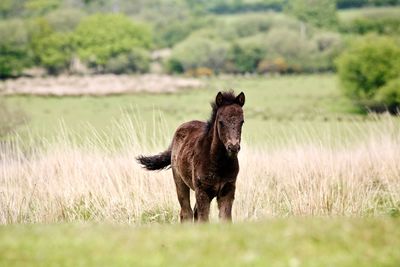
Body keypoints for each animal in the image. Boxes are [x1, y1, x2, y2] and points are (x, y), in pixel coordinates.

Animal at [137, 91, 244, 223]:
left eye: (242, 122)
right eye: (221, 122)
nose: (233, 147)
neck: (219, 163)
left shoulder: (227, 191)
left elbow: (225, 219)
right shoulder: (202, 192)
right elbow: (203, 219)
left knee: (194, 213)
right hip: (180, 181)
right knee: (186, 212)